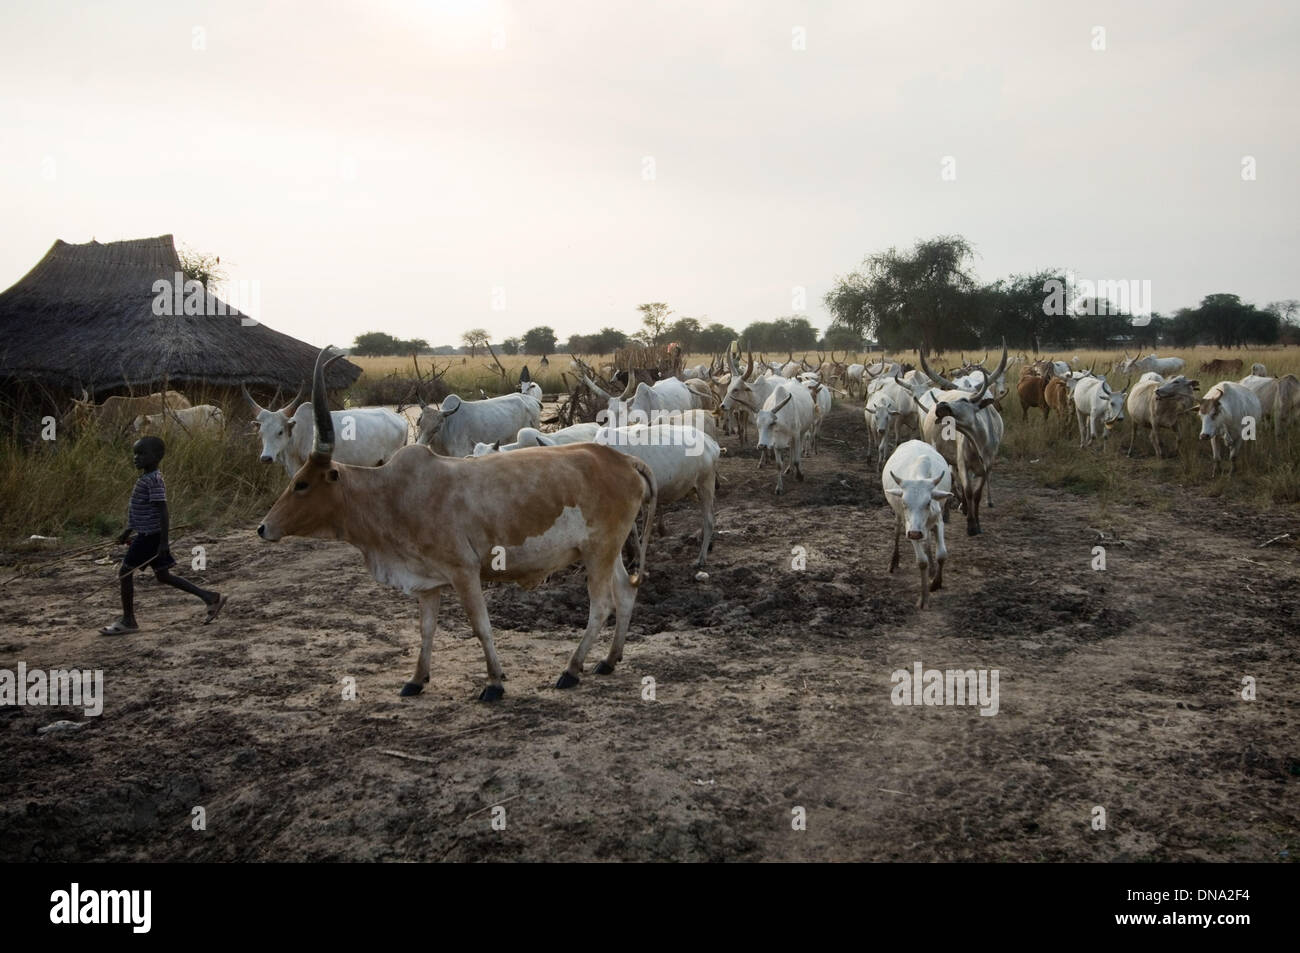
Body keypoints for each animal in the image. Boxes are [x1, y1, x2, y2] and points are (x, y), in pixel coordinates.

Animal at [883, 439, 956, 608]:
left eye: (928, 502)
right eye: (904, 503)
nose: (916, 533)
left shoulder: (938, 522)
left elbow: (942, 554)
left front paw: (936, 583)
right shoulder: (910, 529)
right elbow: (922, 562)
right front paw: (923, 599)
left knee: (927, 541)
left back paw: (932, 570)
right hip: (899, 517)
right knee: (897, 531)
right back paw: (893, 562)